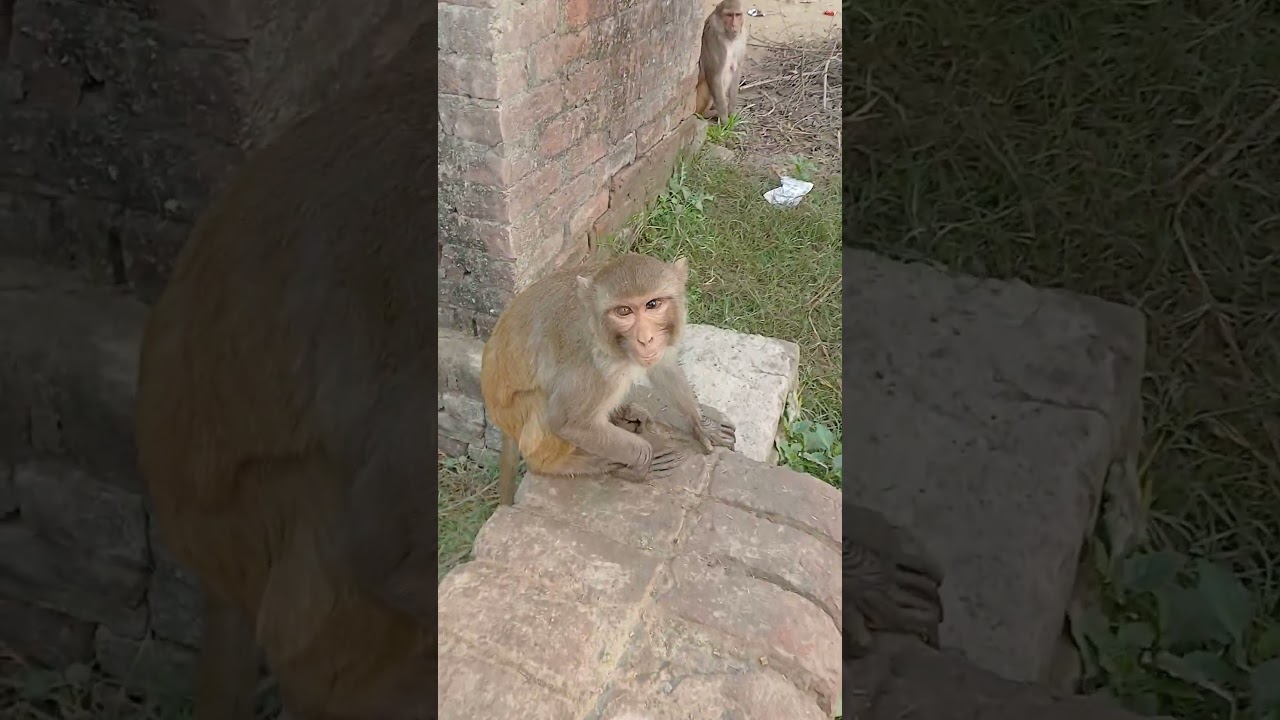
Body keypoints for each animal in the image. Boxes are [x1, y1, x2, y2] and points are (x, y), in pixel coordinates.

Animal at [480, 253, 738, 506]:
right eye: (623, 311)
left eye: (653, 304)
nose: (645, 339)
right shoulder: (592, 366)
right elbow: (568, 423)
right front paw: (643, 463)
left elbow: (663, 366)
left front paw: (703, 425)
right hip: (516, 415)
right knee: (542, 405)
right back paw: (561, 464)